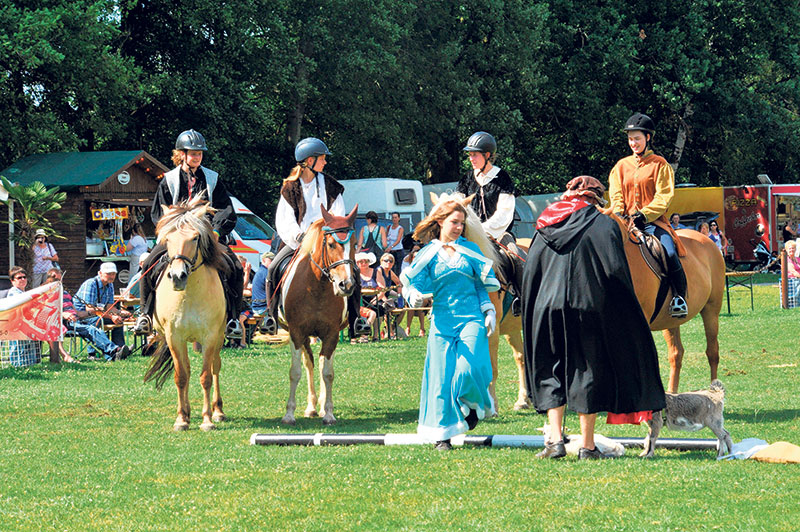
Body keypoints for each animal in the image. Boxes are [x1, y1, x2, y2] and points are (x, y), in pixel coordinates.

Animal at [143, 196, 231, 432]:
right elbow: (181, 376)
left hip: (220, 337)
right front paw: (182, 418)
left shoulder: (210, 337)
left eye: (195, 237)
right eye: (168, 238)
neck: (188, 293)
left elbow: (206, 376)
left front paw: (207, 420)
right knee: (188, 369)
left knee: (216, 367)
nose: (178, 276)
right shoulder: (174, 337)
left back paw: (218, 411)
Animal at [280, 203, 358, 424]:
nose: (346, 285)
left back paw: (321, 407)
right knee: (309, 364)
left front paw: (329, 413)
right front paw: (289, 414)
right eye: (331, 244)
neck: (316, 289)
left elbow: (328, 373)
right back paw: (311, 407)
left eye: (354, 244)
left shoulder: (332, 334)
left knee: (322, 362)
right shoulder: (296, 333)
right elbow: (295, 372)